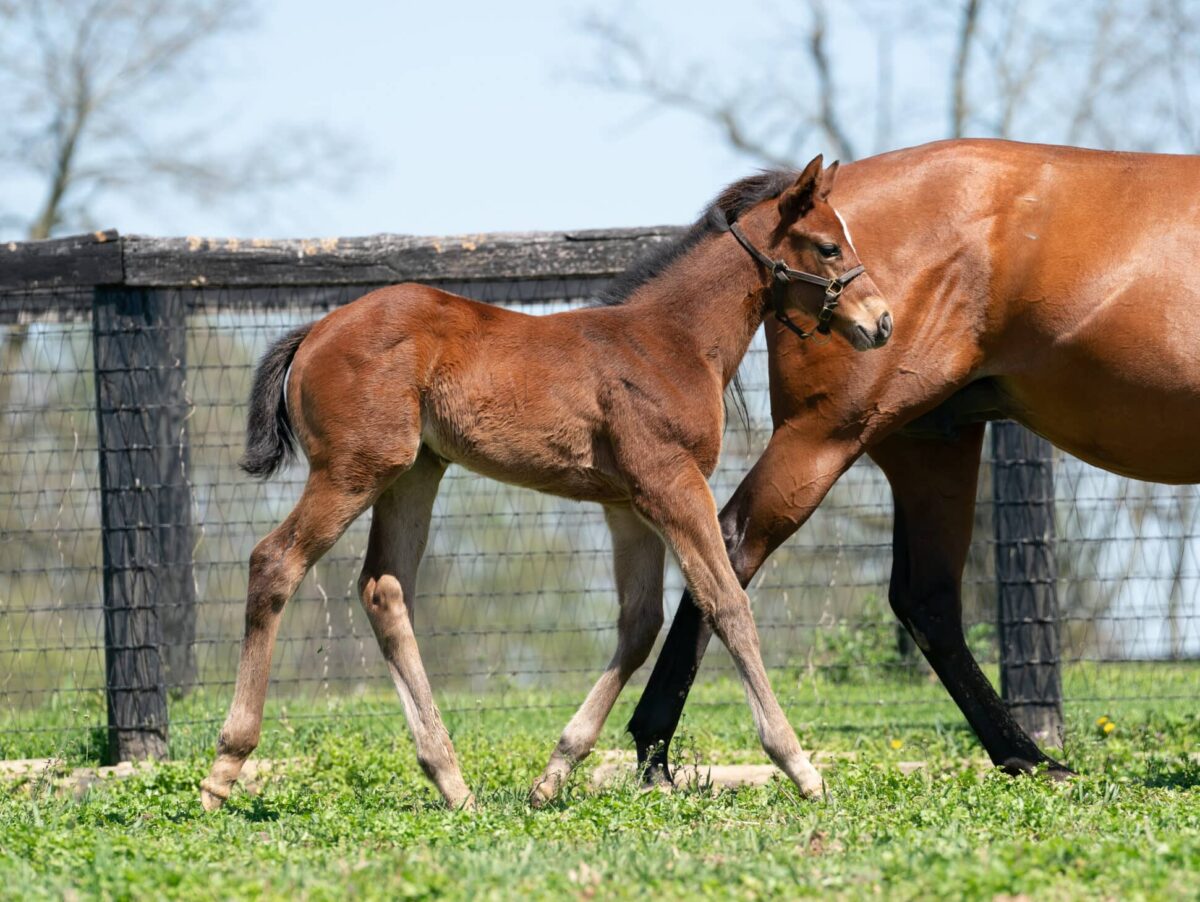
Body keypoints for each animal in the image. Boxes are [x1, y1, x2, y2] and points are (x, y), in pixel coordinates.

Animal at [196, 158, 892, 815]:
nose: (882, 322)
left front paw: (554, 774)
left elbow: (640, 623)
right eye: (828, 246)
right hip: (354, 469)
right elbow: (727, 604)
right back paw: (225, 768)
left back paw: (452, 782)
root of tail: (315, 330)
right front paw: (801, 768)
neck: (674, 341)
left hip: (414, 472)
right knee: (275, 561)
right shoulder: (671, 483)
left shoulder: (626, 506)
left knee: (384, 588)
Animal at [628, 137, 1200, 777]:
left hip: (929, 444)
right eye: (828, 246)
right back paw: (655, 752)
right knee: (730, 545)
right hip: (826, 435)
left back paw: (1028, 757)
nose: (878, 321)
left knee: (927, 600)